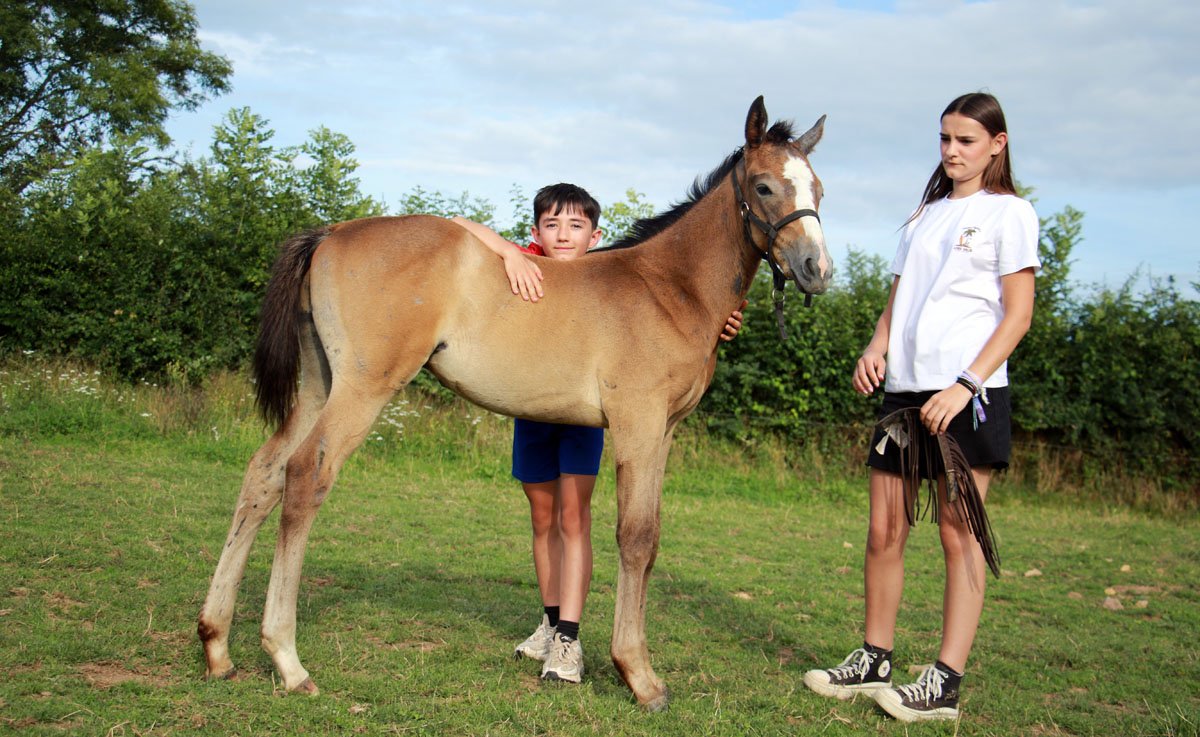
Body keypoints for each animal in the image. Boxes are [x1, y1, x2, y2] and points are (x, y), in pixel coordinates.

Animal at [196, 96, 831, 711]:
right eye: (764, 186)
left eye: (820, 189)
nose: (816, 270)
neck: (667, 289)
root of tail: (330, 232)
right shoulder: (639, 424)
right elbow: (634, 537)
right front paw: (639, 677)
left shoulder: (665, 432)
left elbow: (649, 541)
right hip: (362, 387)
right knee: (306, 474)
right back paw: (287, 660)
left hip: (318, 386)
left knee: (264, 473)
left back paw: (217, 645)